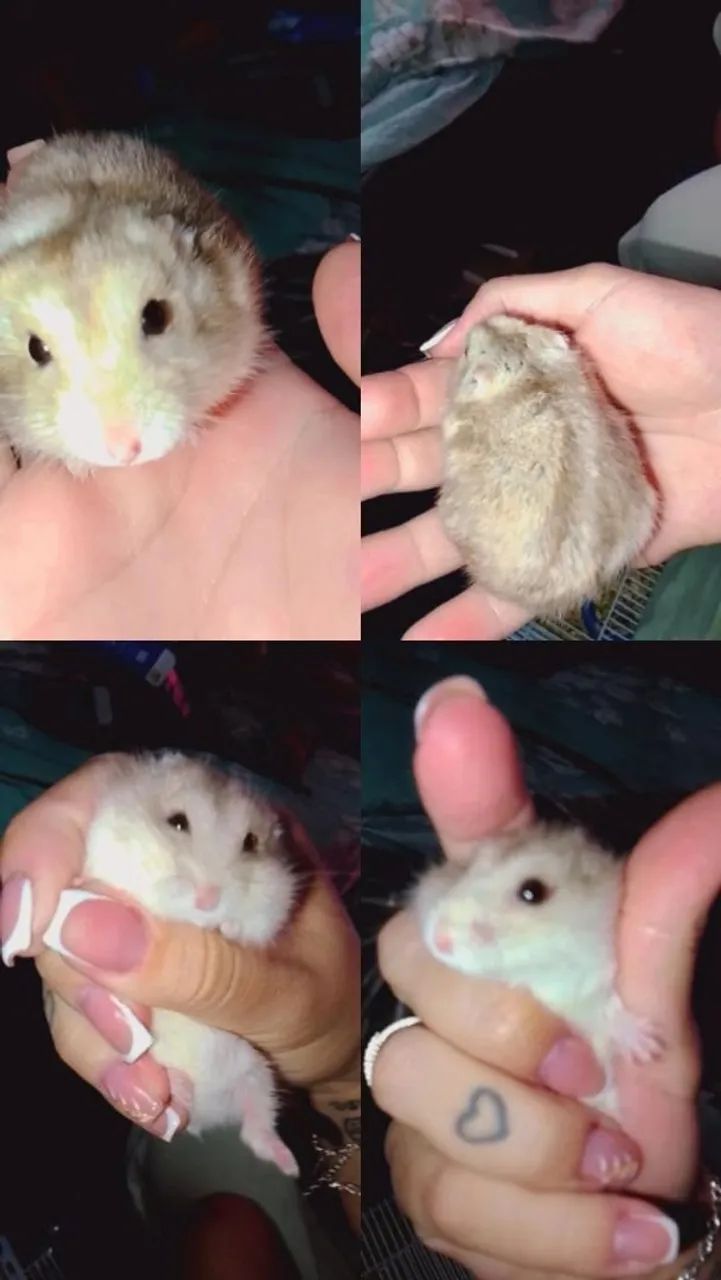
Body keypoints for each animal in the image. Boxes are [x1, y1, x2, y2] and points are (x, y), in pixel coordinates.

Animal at [63, 752, 299, 1175]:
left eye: (251, 842)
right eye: (177, 822)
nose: (208, 900)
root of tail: (210, 1113)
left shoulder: (277, 902)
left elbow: (255, 925)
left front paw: (226, 928)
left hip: (258, 1075)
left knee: (255, 1131)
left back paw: (290, 1164)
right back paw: (182, 1093)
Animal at [412, 822, 663, 1123]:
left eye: (532, 892)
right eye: (468, 868)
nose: (439, 939)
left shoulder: (591, 981)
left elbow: (606, 1008)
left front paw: (649, 1047)